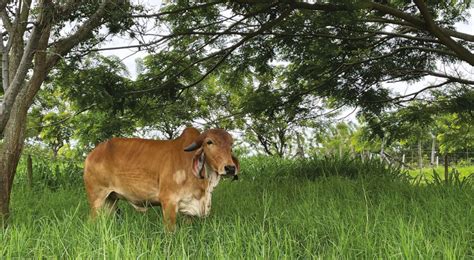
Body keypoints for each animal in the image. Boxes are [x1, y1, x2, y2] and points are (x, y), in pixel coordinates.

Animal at [83, 127, 239, 231]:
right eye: (209, 142)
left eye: (231, 145)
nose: (230, 168)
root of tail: (92, 154)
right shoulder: (168, 201)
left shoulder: (189, 211)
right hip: (96, 199)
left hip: (111, 200)